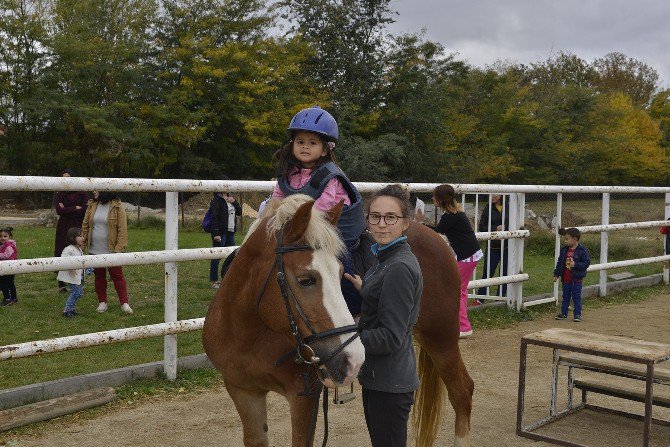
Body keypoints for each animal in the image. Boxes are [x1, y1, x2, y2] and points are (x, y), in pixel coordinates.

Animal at [202, 196, 476, 447]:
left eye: (341, 272)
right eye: (305, 280)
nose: (353, 360)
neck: (248, 333)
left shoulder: (304, 396)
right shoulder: (243, 392)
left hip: (441, 338)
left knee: (462, 390)